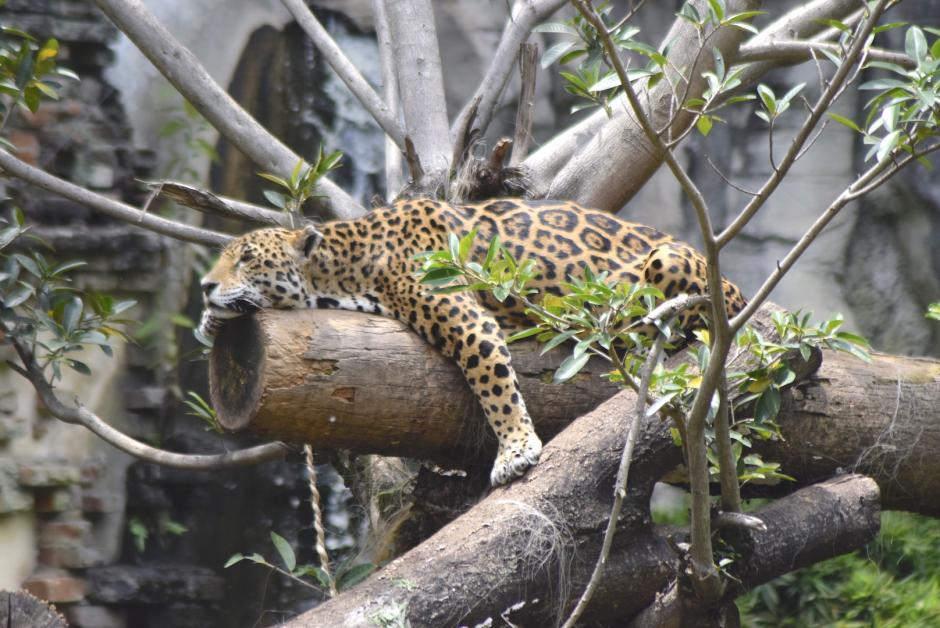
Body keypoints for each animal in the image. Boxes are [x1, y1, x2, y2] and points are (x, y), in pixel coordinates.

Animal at [199, 198, 747, 486]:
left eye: (247, 258)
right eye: (225, 258)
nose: (204, 285)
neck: (349, 270)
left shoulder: (466, 318)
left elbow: (494, 385)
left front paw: (517, 450)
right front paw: (209, 321)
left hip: (671, 264)